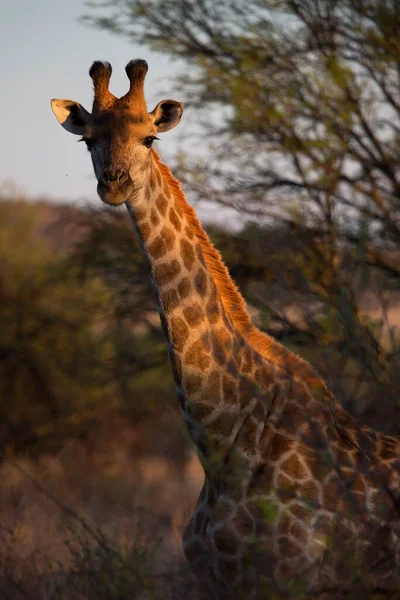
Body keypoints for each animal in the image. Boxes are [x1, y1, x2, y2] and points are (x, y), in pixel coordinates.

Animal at [52, 59, 400, 596]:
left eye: (150, 138)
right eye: (88, 140)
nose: (114, 184)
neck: (223, 442)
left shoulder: (295, 579)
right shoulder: (216, 580)